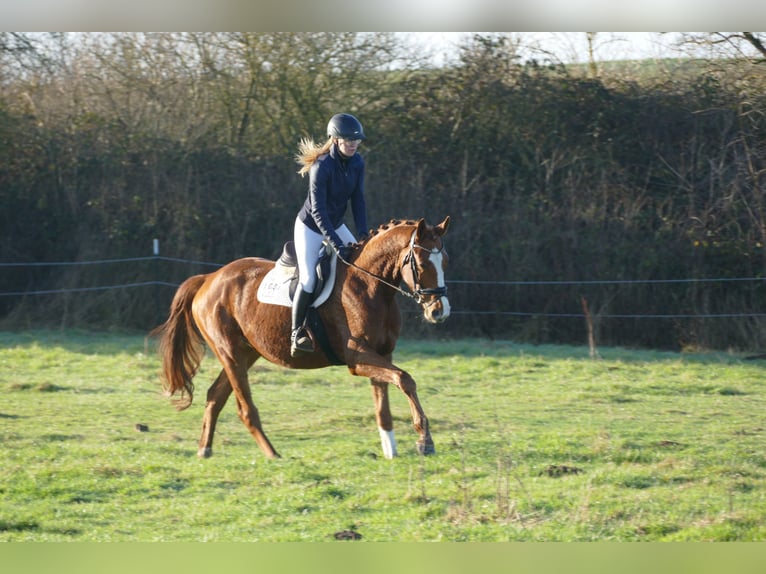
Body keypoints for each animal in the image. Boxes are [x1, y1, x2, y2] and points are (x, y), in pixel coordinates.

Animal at [151, 216, 451, 460]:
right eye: (421, 263)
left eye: (445, 261)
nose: (439, 311)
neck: (371, 286)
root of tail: (209, 278)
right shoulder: (357, 358)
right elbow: (405, 379)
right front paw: (424, 440)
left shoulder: (382, 353)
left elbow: (384, 403)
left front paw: (391, 449)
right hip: (230, 353)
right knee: (245, 408)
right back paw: (273, 455)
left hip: (245, 354)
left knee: (215, 395)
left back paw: (205, 450)